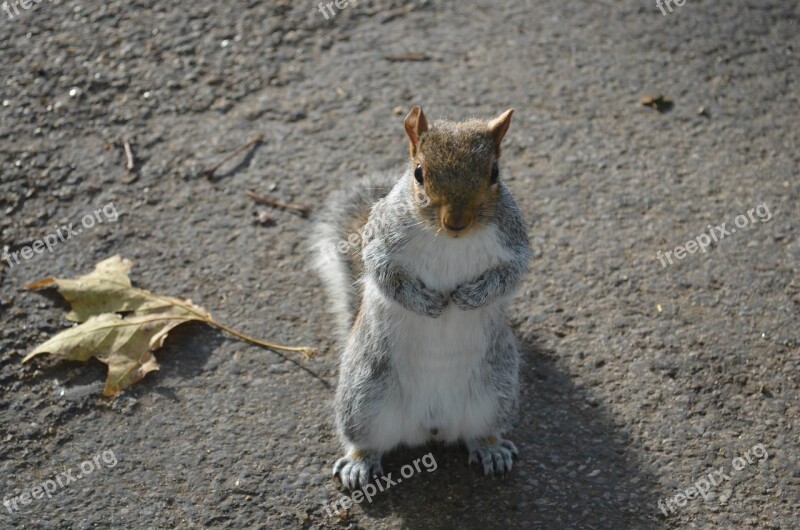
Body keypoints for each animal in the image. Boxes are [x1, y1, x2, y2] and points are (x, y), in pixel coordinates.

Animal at [312, 105, 532, 488]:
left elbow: (509, 276)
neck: (449, 240)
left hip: (496, 390)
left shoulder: (513, 241)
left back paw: (491, 449)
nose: (456, 222)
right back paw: (359, 463)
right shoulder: (381, 241)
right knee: (365, 439)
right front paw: (425, 303)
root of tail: (431, 426)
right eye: (418, 173)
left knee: (480, 431)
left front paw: (471, 297)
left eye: (495, 173)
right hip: (364, 394)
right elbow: (383, 274)